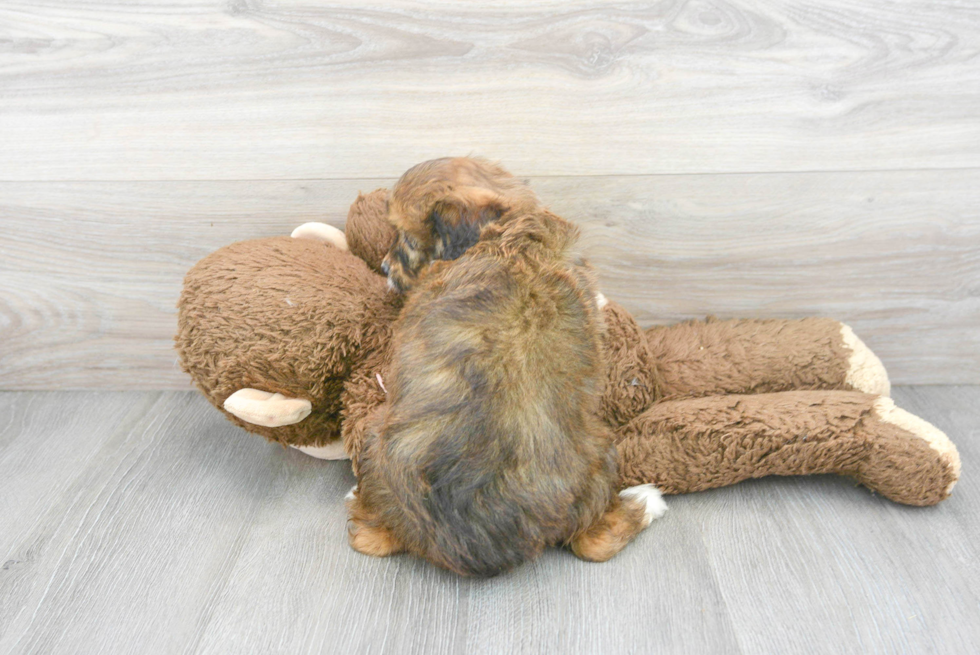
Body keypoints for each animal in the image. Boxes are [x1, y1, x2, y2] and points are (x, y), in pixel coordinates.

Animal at [346, 158, 668, 576]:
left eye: (408, 241)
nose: (384, 268)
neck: (510, 236)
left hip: (373, 434)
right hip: (600, 449)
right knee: (596, 539)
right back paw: (647, 499)